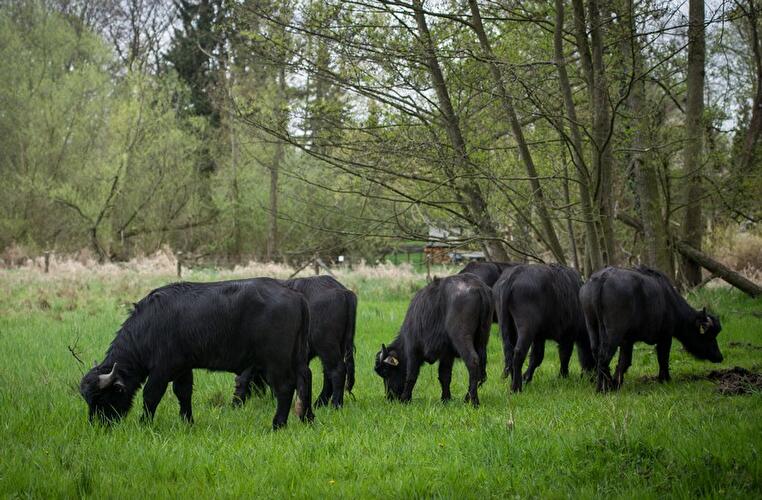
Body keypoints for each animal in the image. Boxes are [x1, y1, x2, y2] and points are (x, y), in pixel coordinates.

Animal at [79, 278, 314, 430]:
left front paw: (144, 424)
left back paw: (278, 424)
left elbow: (151, 395)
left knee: (285, 387)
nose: (96, 426)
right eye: (88, 400)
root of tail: (296, 296)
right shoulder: (183, 367)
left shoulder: (162, 370)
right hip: (298, 356)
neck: (150, 325)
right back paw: (307, 418)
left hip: (276, 360)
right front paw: (188, 422)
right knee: (306, 378)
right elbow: (183, 394)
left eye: (101, 398)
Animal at [233, 275, 357, 409]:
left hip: (326, 345)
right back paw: (319, 404)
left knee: (337, 371)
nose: (258, 393)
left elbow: (243, 378)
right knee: (328, 373)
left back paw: (336, 405)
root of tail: (343, 291)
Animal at [374, 273, 492, 407]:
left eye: (385, 371)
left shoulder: (412, 350)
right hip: (482, 338)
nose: (389, 397)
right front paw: (445, 399)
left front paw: (406, 398)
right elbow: (444, 376)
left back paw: (473, 401)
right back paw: (467, 397)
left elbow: (411, 375)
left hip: (462, 338)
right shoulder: (447, 354)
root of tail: (478, 287)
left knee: (473, 361)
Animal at [494, 264, 595, 392]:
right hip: (526, 328)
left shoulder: (539, 337)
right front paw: (563, 376)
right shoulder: (567, 337)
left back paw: (514, 382)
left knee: (509, 353)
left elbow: (536, 357)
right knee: (518, 353)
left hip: (507, 327)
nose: (593, 376)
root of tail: (514, 275)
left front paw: (526, 377)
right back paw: (516, 387)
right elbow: (564, 356)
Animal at [580, 266, 723, 392]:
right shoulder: (665, 337)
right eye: (710, 336)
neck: (669, 301)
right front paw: (665, 379)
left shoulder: (628, 341)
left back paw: (605, 384)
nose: (720, 357)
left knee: (597, 354)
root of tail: (603, 278)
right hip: (613, 333)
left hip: (592, 326)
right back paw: (603, 387)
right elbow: (663, 358)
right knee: (604, 356)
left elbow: (624, 362)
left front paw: (617, 383)